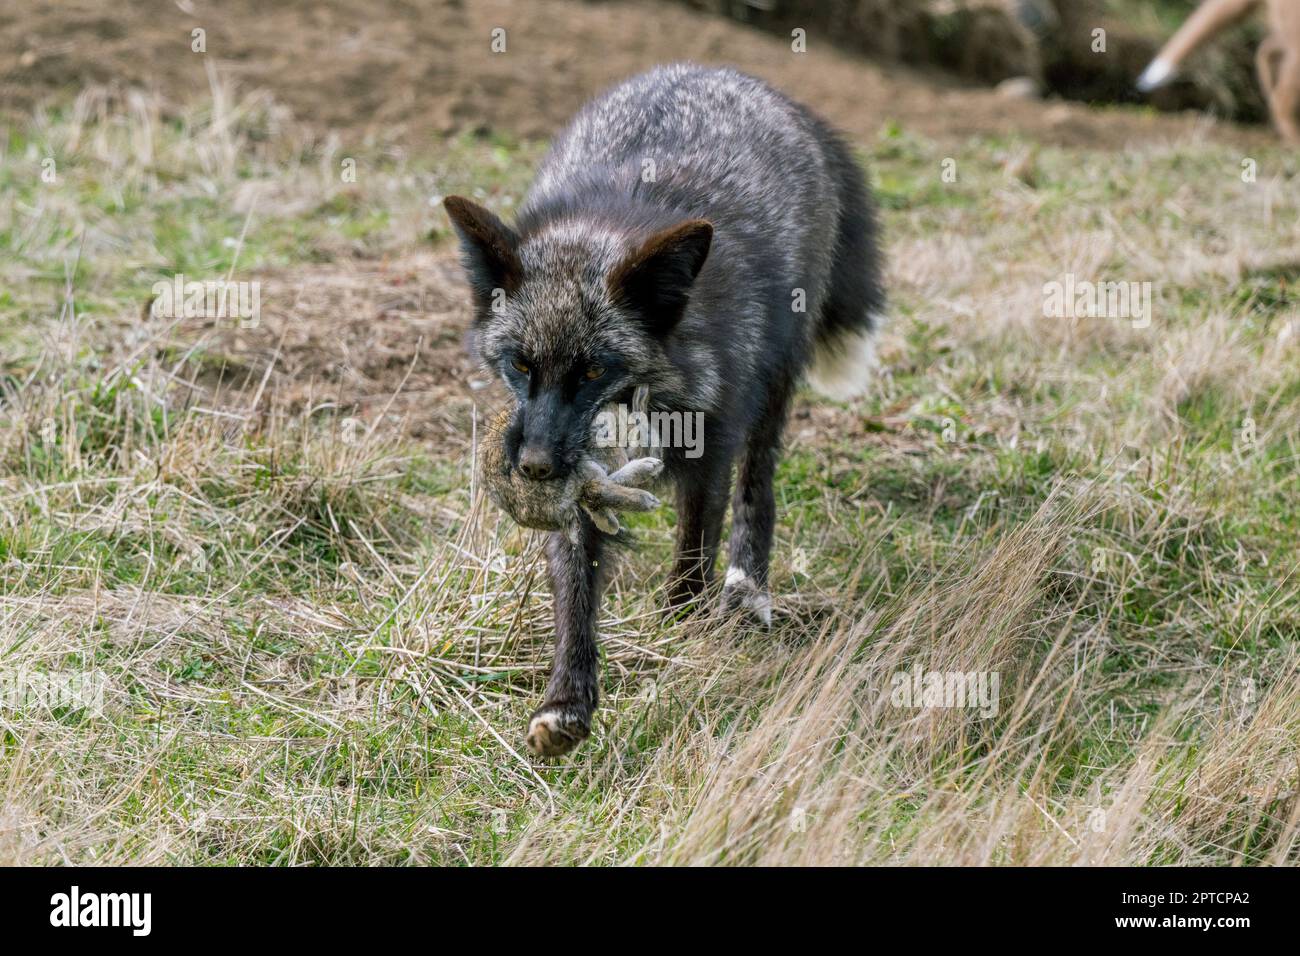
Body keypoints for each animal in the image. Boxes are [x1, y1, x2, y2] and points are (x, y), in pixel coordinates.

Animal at [443, 63, 883, 757]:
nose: (535, 467)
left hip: (775, 385)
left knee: (758, 488)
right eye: (520, 366)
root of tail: (739, 78)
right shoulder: (581, 486)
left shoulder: (712, 444)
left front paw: (681, 629)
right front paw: (568, 701)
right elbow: (575, 590)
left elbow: (693, 551)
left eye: (594, 370)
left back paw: (747, 588)